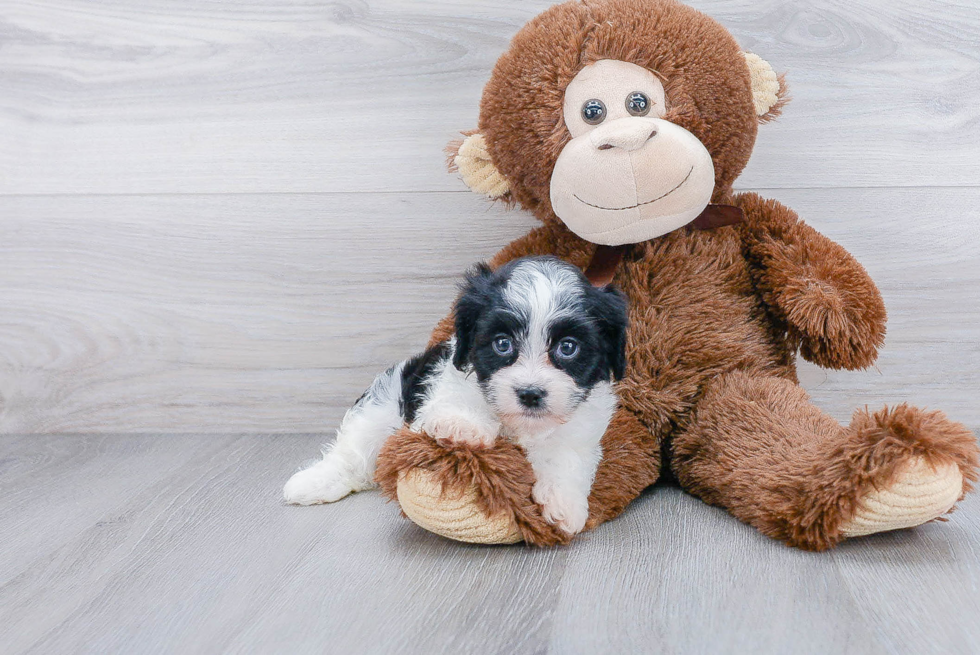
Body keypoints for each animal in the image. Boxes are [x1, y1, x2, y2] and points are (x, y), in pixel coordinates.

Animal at [284, 258, 628, 540]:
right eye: (502, 344)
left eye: (568, 347)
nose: (530, 393)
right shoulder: (448, 378)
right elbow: (455, 401)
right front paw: (461, 427)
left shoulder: (581, 429)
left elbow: (566, 457)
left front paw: (564, 505)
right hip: (383, 405)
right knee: (352, 454)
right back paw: (312, 483)